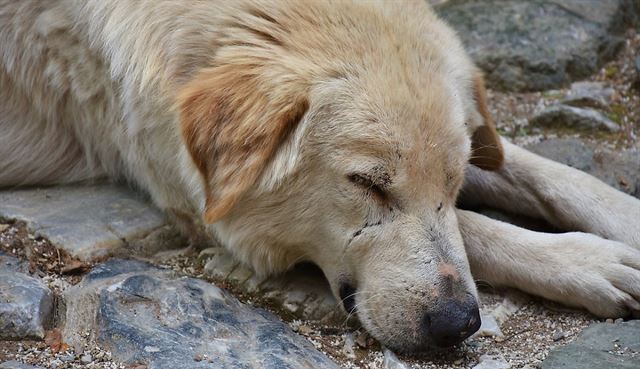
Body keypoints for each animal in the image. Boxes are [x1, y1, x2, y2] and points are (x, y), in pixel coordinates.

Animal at [1, 0, 640, 350]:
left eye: (454, 181)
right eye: (367, 184)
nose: (460, 324)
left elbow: (538, 171)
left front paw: (623, 219)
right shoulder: (186, 194)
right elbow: (481, 230)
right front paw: (585, 262)